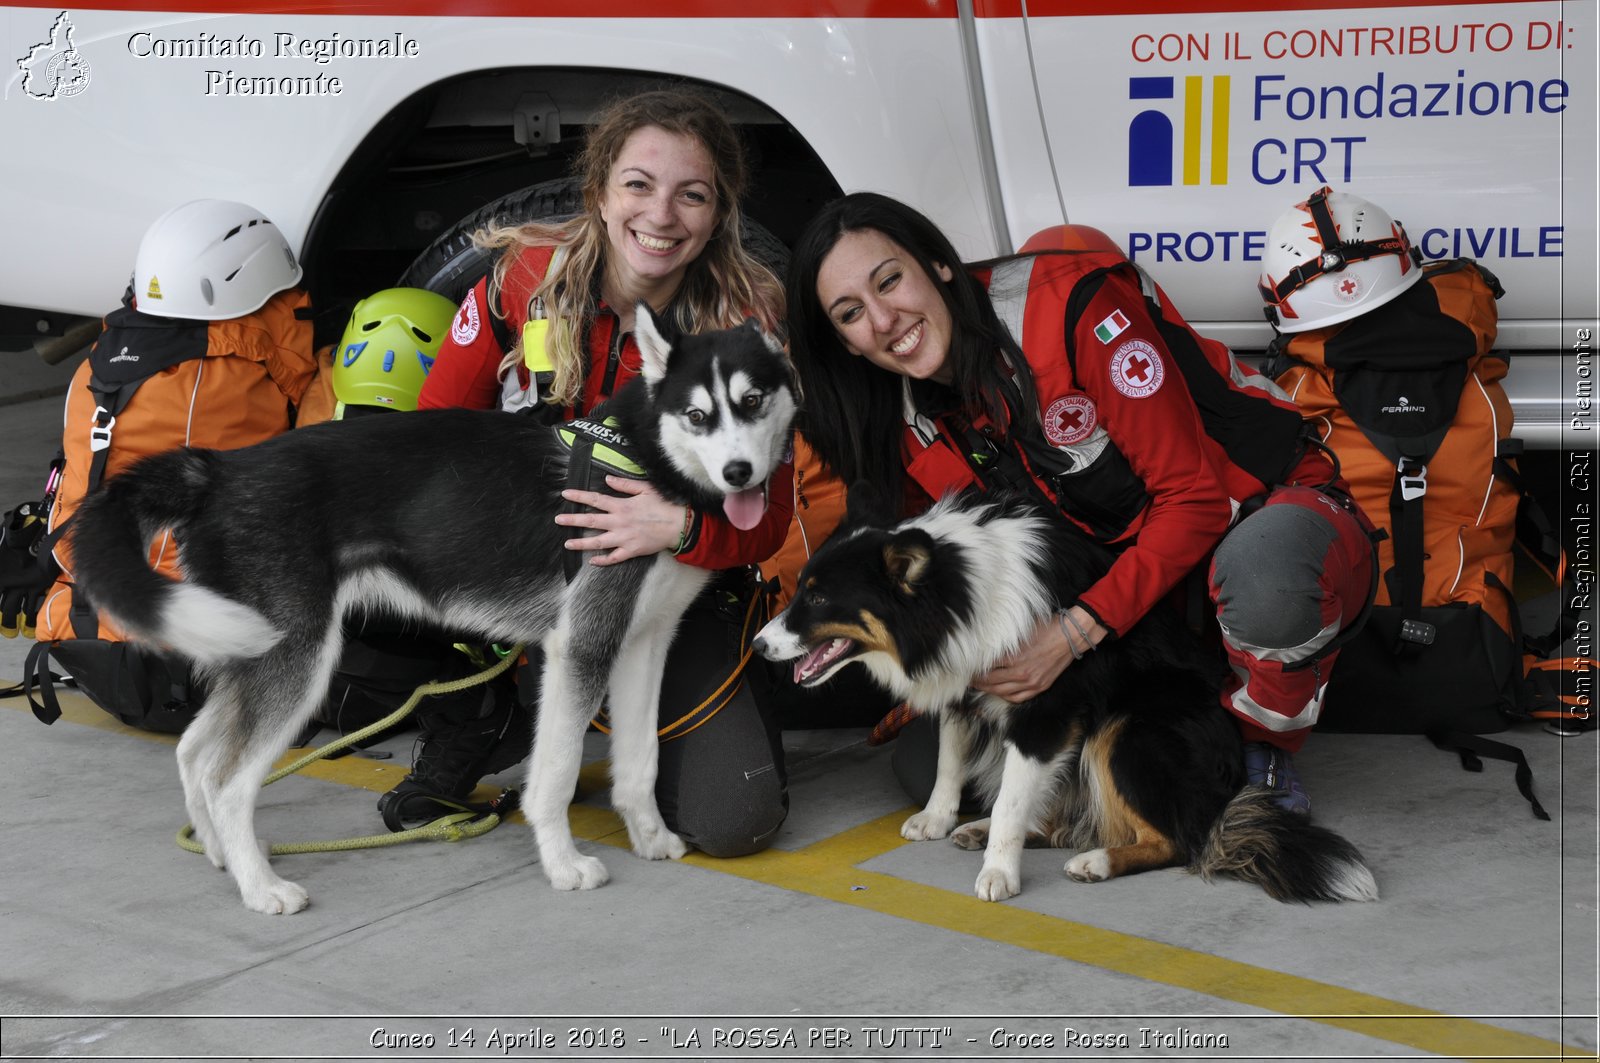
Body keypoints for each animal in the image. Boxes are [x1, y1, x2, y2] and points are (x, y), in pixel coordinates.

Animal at [72, 307, 796, 915]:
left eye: (752, 402)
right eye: (698, 415)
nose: (738, 472)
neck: (647, 460)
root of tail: (218, 471)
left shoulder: (642, 645)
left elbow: (640, 763)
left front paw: (650, 837)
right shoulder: (581, 647)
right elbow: (556, 776)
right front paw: (563, 865)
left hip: (253, 658)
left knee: (195, 753)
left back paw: (224, 855)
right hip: (298, 661)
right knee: (227, 781)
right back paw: (262, 889)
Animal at [758, 486, 1376, 902]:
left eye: (818, 600)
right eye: (802, 588)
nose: (760, 647)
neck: (958, 590)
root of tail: (1227, 789)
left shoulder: (1045, 711)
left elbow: (1011, 796)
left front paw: (999, 874)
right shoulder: (966, 680)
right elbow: (950, 759)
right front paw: (937, 818)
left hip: (1128, 731)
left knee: (1181, 839)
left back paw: (1095, 861)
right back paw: (984, 828)